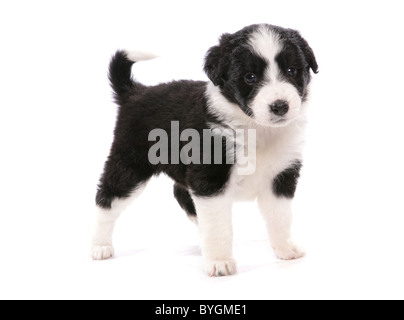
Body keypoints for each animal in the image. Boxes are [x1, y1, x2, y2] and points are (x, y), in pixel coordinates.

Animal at [91, 23, 318, 276]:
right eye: (250, 77)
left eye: (291, 70)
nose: (280, 106)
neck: (257, 129)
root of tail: (135, 92)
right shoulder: (211, 178)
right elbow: (219, 226)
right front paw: (220, 262)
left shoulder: (281, 176)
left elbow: (281, 217)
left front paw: (286, 249)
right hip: (130, 164)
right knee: (106, 198)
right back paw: (100, 246)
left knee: (182, 195)